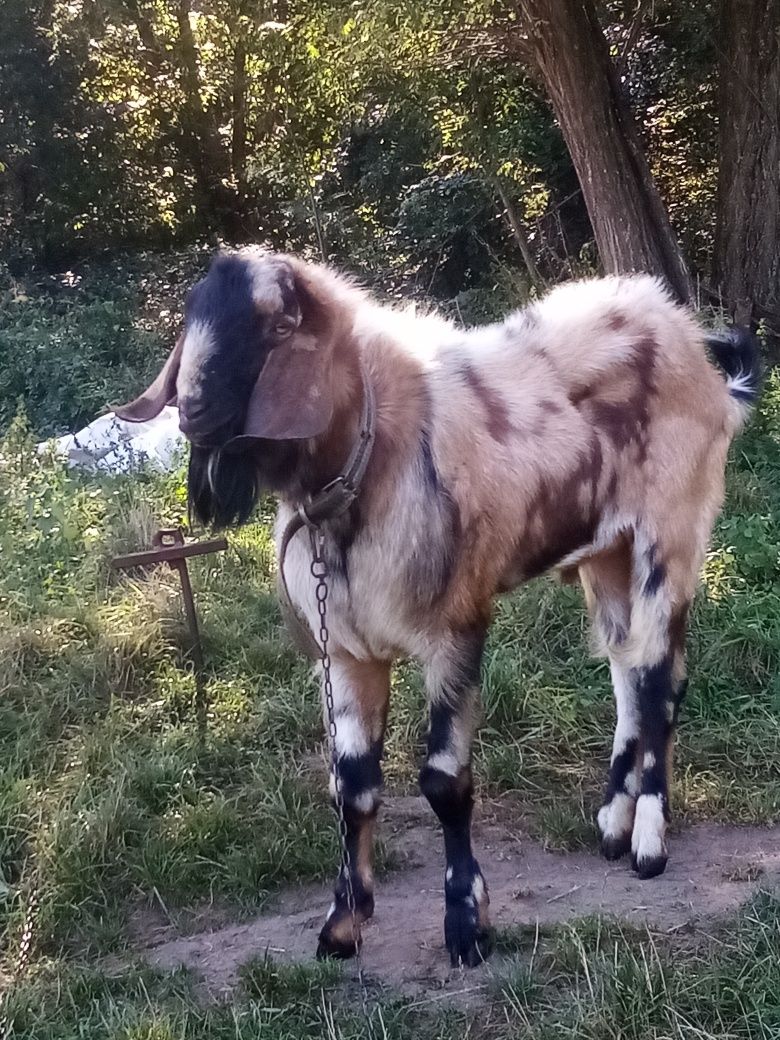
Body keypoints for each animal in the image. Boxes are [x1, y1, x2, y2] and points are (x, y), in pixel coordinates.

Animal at [115, 249, 765, 965]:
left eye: (277, 325)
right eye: (194, 313)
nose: (194, 414)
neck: (367, 464)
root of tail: (693, 347)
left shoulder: (454, 630)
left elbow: (444, 782)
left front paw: (466, 923)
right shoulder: (345, 653)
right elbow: (352, 787)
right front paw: (343, 923)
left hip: (668, 541)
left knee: (658, 682)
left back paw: (648, 842)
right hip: (606, 557)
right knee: (628, 672)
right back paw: (612, 826)